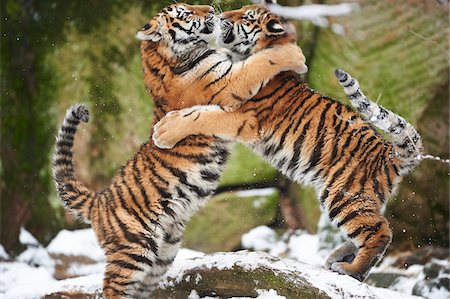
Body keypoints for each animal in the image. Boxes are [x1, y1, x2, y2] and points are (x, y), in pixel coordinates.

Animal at [51, 2, 306, 299]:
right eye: (185, 13)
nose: (211, 9)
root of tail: (99, 200)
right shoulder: (230, 82)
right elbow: (260, 63)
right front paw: (294, 54)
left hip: (162, 255)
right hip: (133, 252)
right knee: (112, 288)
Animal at [153, 6, 424, 284]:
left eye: (247, 16)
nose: (222, 14)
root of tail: (388, 152)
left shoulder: (243, 116)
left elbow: (203, 116)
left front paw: (165, 130)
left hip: (344, 194)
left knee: (380, 231)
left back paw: (351, 270)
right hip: (360, 197)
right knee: (369, 227)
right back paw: (337, 258)